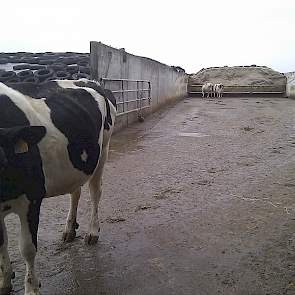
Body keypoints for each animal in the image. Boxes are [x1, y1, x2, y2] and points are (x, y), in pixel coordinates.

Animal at [0, 79, 117, 295]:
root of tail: (89, 81)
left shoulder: (32, 196)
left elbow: (27, 248)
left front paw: (32, 288)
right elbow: (1, 241)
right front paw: (4, 281)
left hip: (103, 149)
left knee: (95, 192)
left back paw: (92, 232)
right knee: (75, 192)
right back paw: (70, 229)